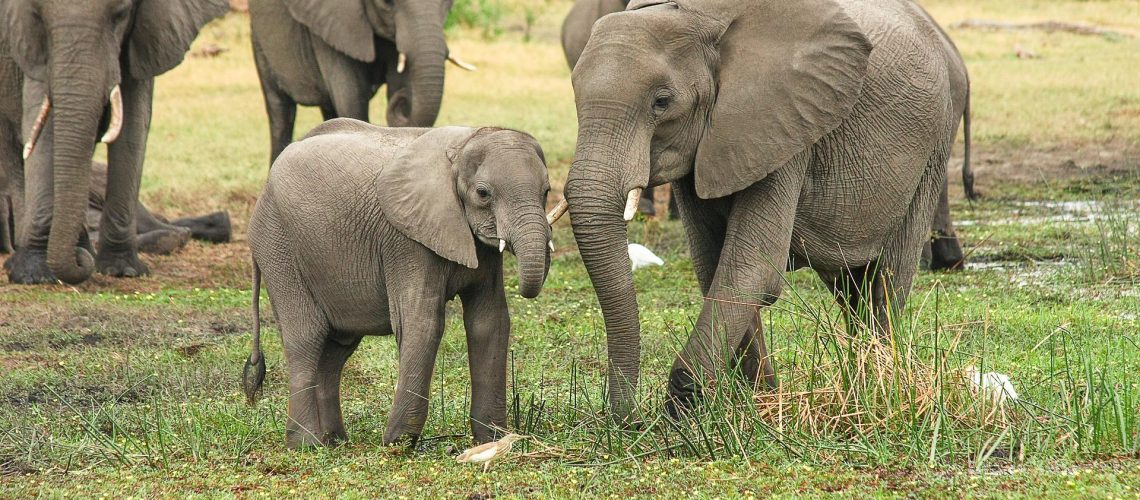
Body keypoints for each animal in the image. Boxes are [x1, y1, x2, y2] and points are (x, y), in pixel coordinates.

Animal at [0, 0, 228, 284]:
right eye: (37, 14)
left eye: (121, 14)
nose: (78, 262)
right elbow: (39, 121)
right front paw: (34, 276)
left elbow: (134, 123)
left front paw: (123, 270)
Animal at [242, 119, 561, 448]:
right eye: (483, 193)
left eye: (546, 191)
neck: (462, 147)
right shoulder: (406, 240)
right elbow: (422, 322)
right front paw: (398, 443)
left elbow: (490, 321)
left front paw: (493, 440)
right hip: (278, 245)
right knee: (306, 337)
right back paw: (306, 444)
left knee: (336, 348)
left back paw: (335, 442)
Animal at [249, 0, 472, 166]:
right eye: (387, 2)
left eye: (447, 2)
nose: (404, 99)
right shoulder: (334, 27)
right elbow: (351, 99)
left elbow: (396, 83)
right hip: (259, 41)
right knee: (281, 112)